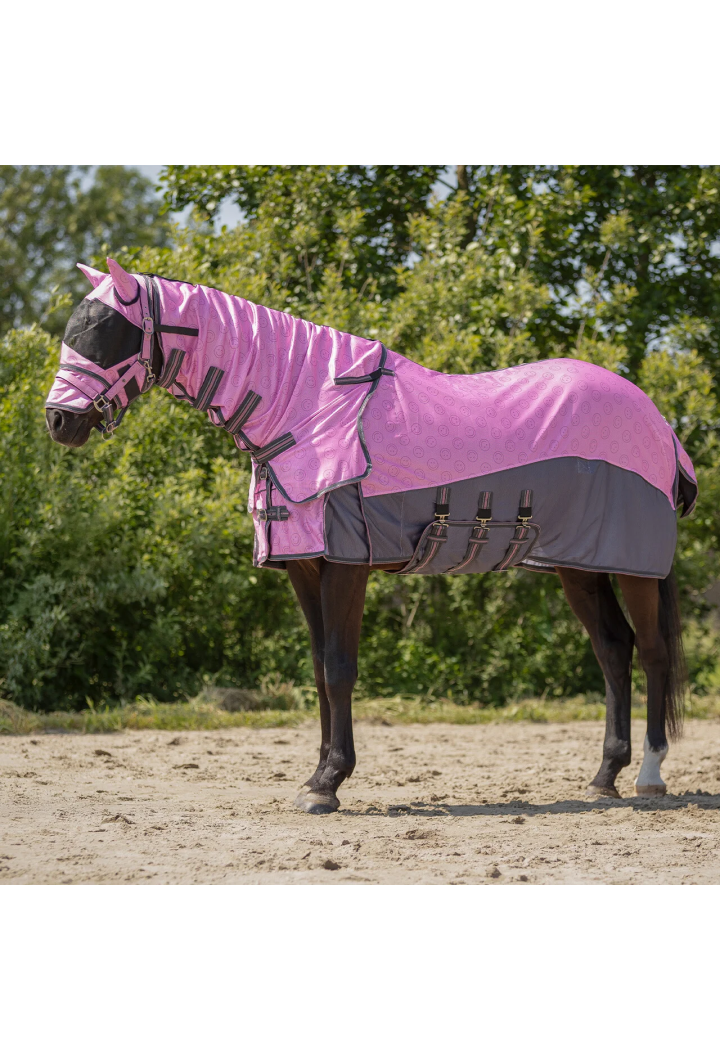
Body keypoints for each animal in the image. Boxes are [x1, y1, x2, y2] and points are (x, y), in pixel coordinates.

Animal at [45, 258, 698, 814]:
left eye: (106, 335)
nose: (58, 422)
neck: (310, 408)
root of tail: (659, 424)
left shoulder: (345, 565)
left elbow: (340, 668)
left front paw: (328, 784)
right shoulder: (304, 567)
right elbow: (317, 670)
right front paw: (315, 777)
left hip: (635, 567)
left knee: (652, 652)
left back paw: (649, 776)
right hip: (577, 566)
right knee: (613, 649)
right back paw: (603, 777)